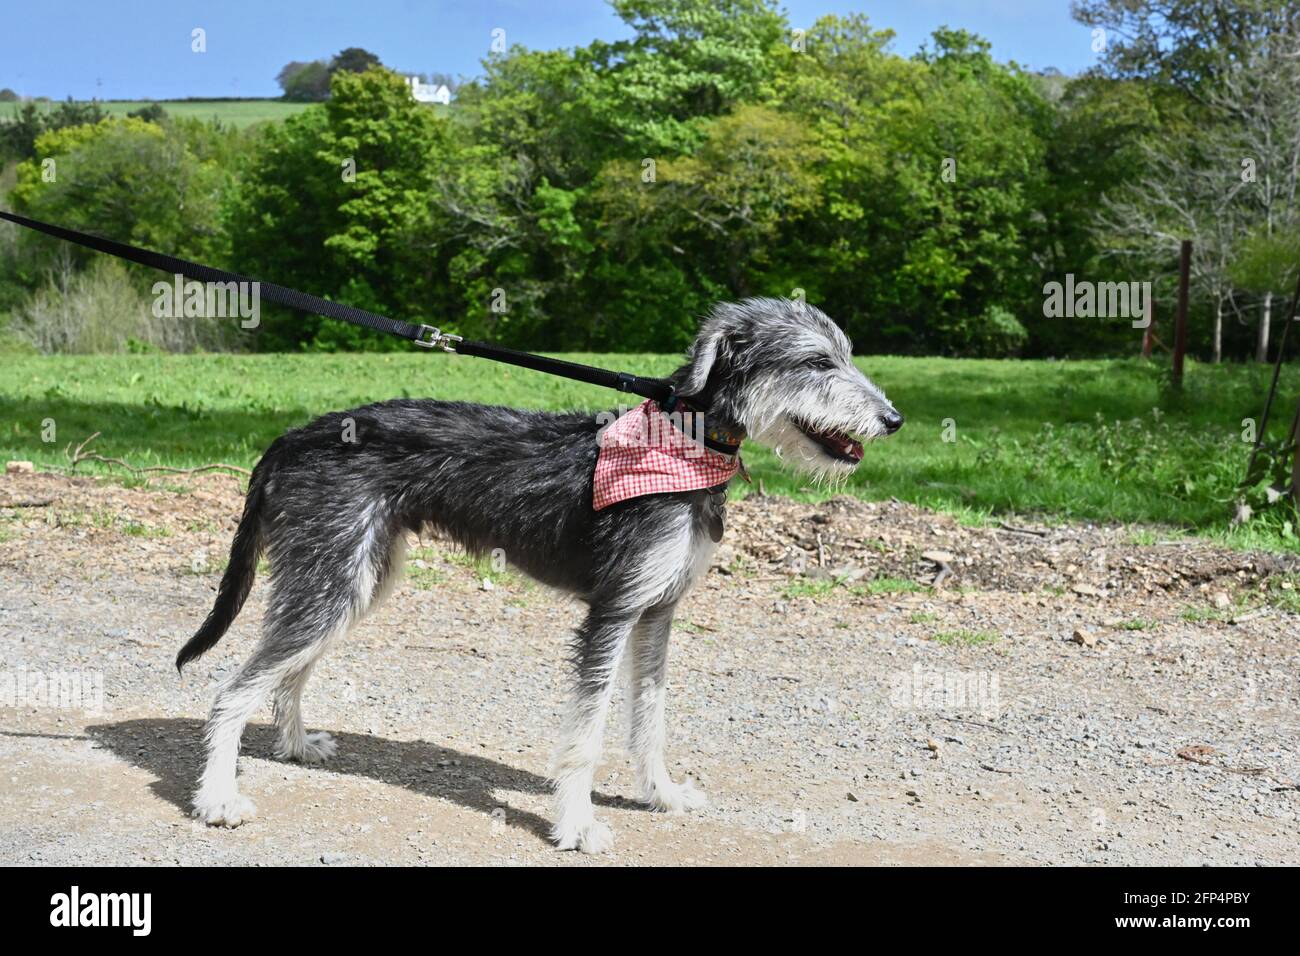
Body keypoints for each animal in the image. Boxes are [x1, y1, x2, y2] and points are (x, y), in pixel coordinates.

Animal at [175, 297, 904, 853]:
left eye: (847, 355)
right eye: (817, 361)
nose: (894, 420)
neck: (684, 440)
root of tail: (291, 437)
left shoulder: (658, 612)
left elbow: (650, 717)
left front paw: (661, 793)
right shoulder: (613, 610)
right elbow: (586, 735)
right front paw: (578, 827)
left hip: (351, 582)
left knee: (285, 674)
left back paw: (297, 744)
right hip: (331, 582)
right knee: (232, 691)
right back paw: (217, 798)